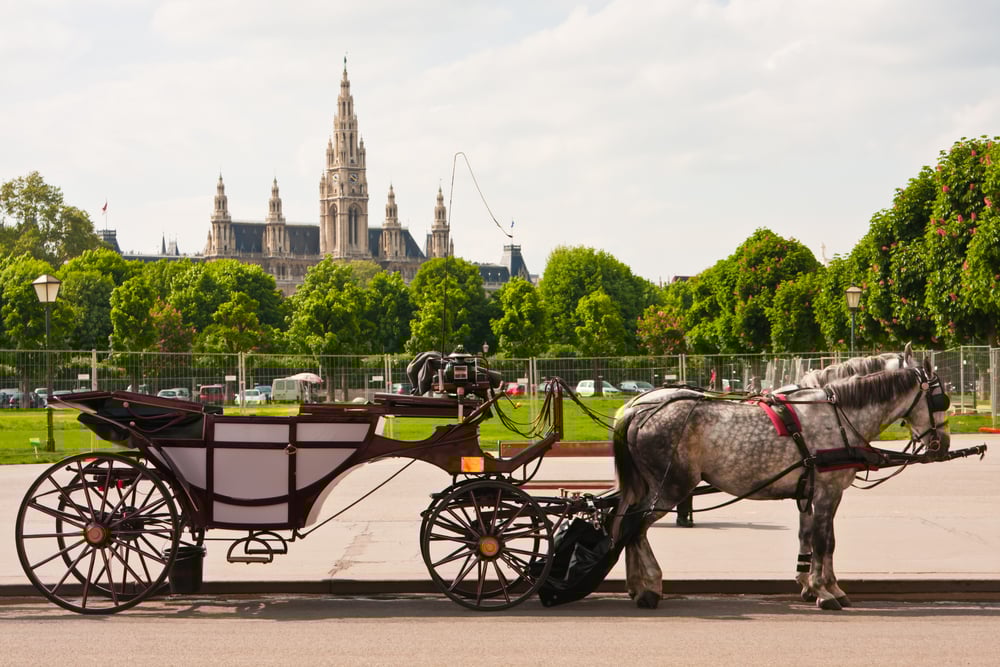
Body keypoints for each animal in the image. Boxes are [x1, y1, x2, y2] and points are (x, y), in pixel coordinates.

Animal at [612, 356, 950, 610]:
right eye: (940, 399)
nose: (943, 443)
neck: (839, 415)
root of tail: (637, 412)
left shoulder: (810, 492)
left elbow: (813, 538)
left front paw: (816, 585)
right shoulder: (827, 492)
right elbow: (824, 541)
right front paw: (825, 591)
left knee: (625, 522)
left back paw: (637, 586)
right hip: (672, 486)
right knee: (635, 526)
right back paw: (649, 587)